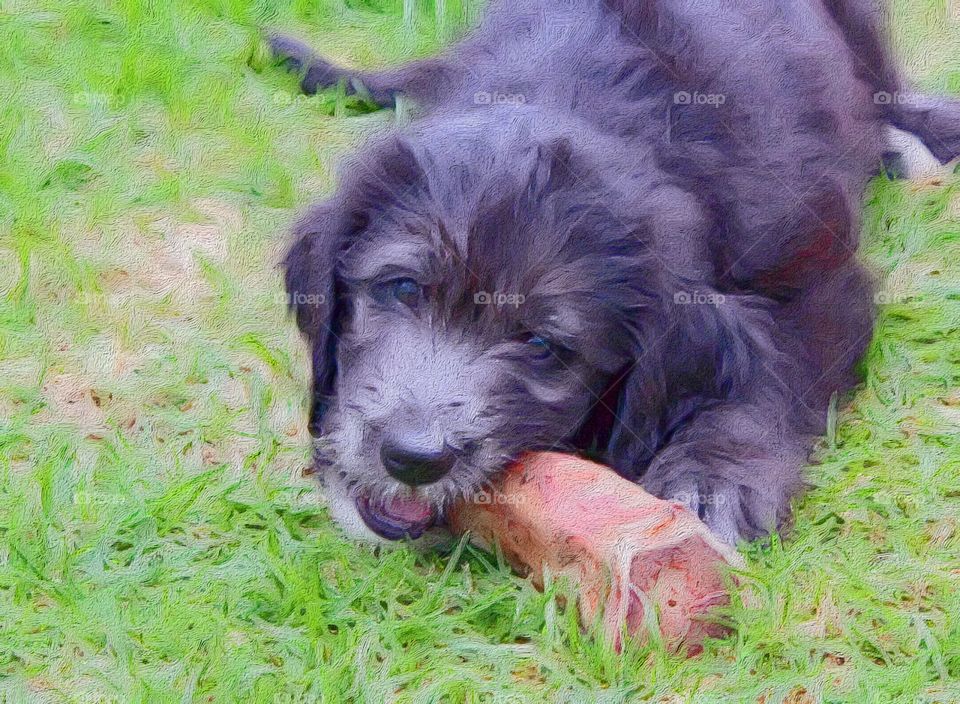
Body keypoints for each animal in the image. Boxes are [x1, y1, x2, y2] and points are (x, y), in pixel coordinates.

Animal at [274, 0, 960, 544]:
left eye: (542, 345)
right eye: (402, 289)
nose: (413, 459)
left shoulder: (820, 283)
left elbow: (777, 376)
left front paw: (714, 474)